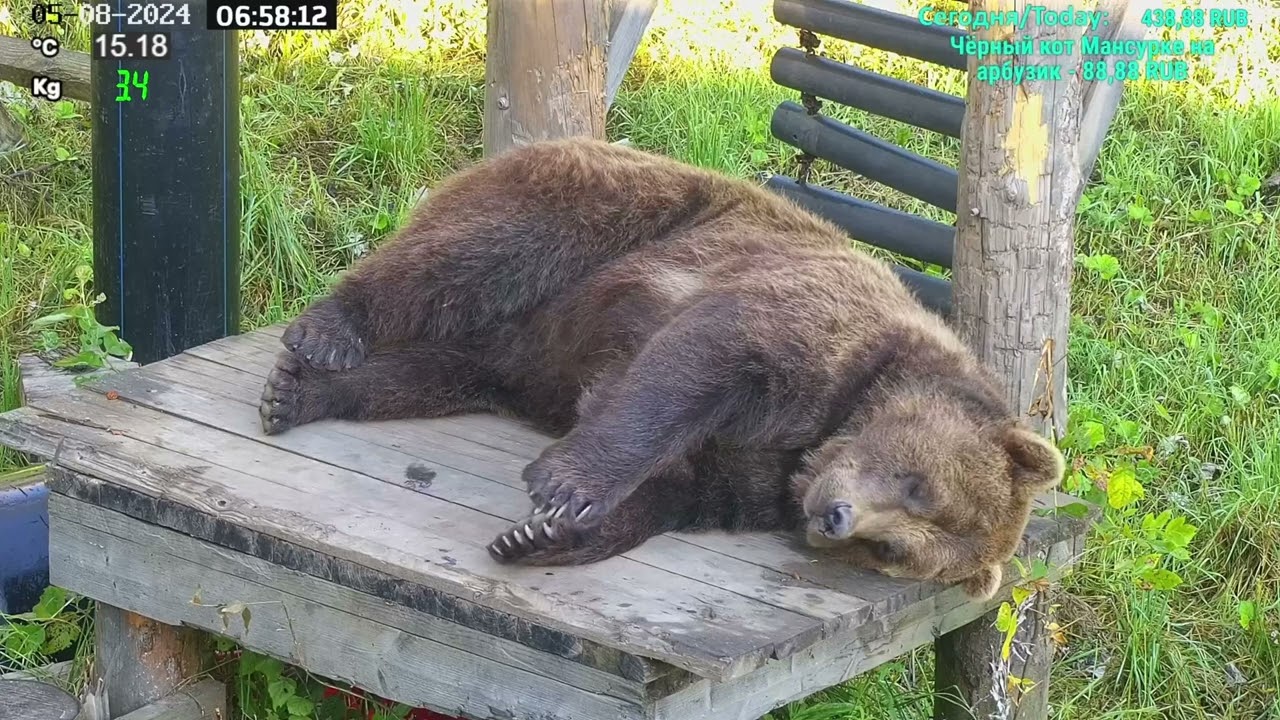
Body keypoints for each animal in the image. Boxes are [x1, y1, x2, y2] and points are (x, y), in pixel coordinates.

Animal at [258, 137, 1065, 600]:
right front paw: (566, 485)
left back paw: (299, 394)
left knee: (432, 371)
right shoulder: (804, 327)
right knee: (470, 253)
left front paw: (540, 536)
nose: (834, 517)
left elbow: (676, 492)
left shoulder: (755, 477)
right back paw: (328, 335)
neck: (830, 428)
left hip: (514, 354)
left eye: (893, 549)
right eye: (917, 480)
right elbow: (697, 359)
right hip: (610, 214)